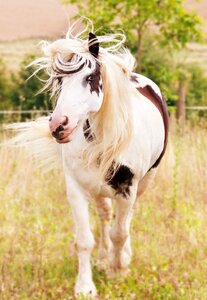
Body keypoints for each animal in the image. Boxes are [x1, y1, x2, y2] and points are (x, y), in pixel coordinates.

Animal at [6, 27, 169, 296]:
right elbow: (84, 240)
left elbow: (119, 233)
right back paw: (103, 259)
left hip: (144, 182)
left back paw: (121, 257)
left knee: (124, 221)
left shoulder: (127, 189)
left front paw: (118, 270)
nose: (58, 125)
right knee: (104, 216)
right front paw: (85, 286)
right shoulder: (76, 188)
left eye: (91, 78)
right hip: (98, 189)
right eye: (60, 81)